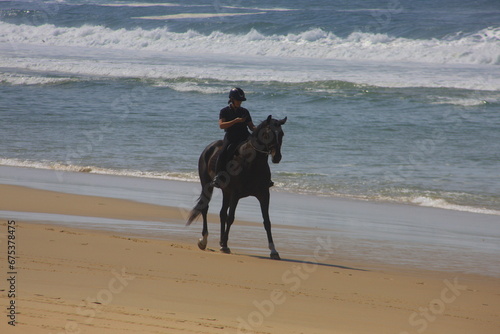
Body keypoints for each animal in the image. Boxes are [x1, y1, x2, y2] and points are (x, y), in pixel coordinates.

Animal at [186, 116, 288, 260]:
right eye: (267, 134)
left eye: (282, 134)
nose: (277, 157)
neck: (252, 164)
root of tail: (209, 147)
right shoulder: (236, 194)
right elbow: (231, 218)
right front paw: (224, 246)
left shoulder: (264, 195)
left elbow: (267, 221)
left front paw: (274, 251)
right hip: (207, 185)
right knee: (205, 208)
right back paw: (204, 240)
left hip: (226, 191)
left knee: (222, 213)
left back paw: (221, 240)